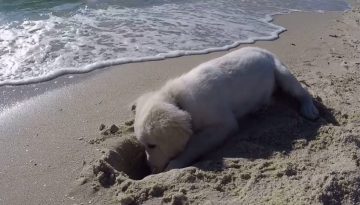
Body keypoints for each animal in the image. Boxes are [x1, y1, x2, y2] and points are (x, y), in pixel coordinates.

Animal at [134, 46, 320, 173]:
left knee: (303, 91)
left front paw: (175, 164)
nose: (149, 168)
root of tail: (265, 50)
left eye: (152, 145)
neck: (178, 100)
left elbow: (195, 143)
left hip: (282, 73)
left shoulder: (224, 125)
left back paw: (309, 108)